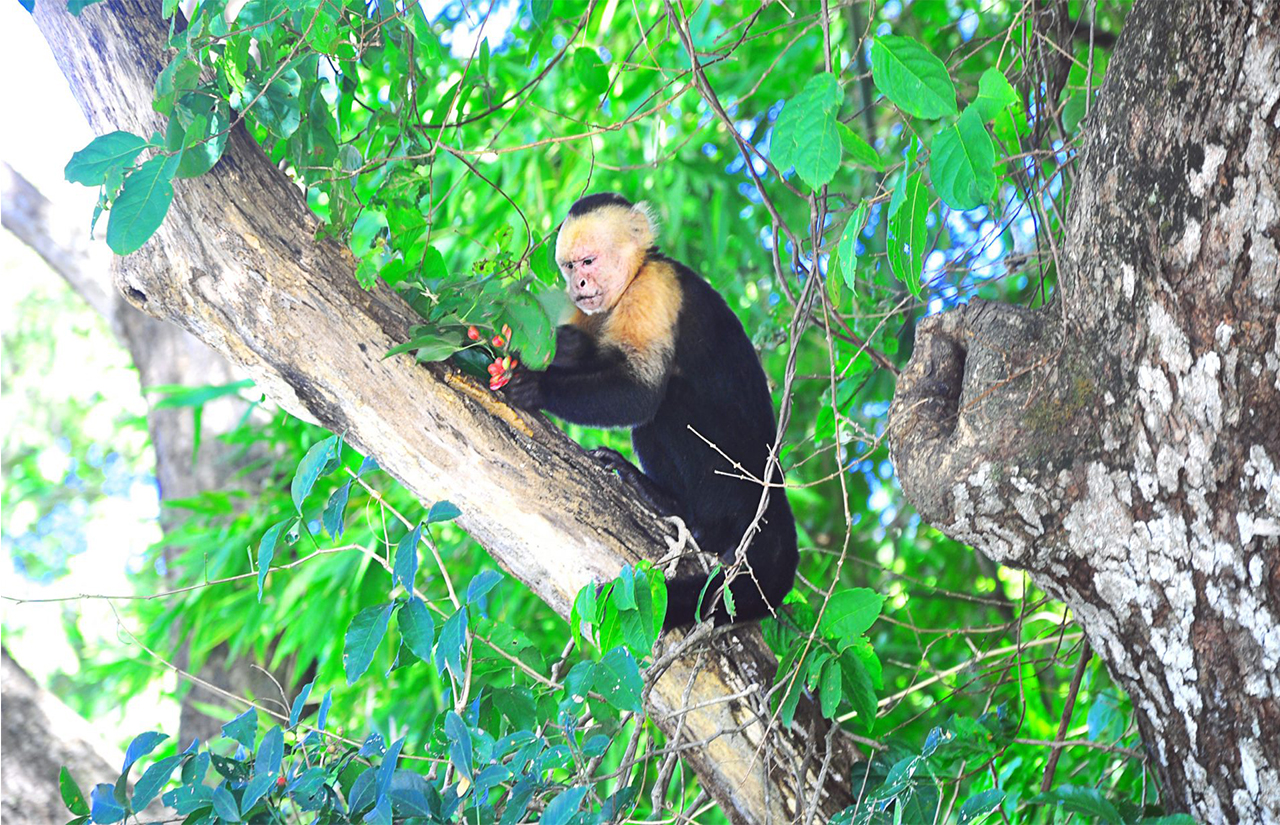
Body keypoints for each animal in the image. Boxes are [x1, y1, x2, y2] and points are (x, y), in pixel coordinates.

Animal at [501, 192, 798, 631]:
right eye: (569, 267)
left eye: (588, 262)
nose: (577, 285)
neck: (634, 274)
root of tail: (772, 487)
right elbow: (587, 354)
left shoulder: (653, 290)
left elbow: (639, 392)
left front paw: (536, 386)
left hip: (735, 483)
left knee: (669, 403)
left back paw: (684, 514)